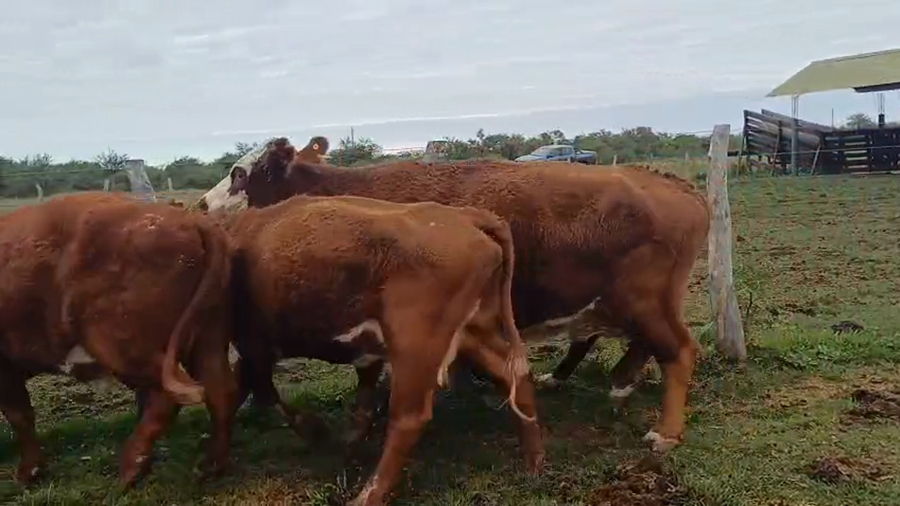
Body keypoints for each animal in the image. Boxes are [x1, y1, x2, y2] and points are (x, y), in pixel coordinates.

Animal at [0, 192, 236, 487]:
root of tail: (192, 219)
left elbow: (19, 415)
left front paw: (29, 472)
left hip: (121, 345)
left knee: (167, 397)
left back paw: (131, 468)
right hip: (208, 335)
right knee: (220, 390)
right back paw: (211, 465)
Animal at [197, 137, 710, 452]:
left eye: (239, 173)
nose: (202, 203)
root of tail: (676, 185)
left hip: (644, 302)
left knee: (679, 351)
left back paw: (665, 432)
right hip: (633, 303)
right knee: (636, 344)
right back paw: (616, 383)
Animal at [223, 193, 543, 506]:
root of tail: (466, 215)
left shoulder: (252, 345)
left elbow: (251, 394)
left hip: (413, 344)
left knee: (409, 417)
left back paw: (367, 496)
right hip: (472, 332)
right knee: (514, 375)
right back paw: (534, 462)